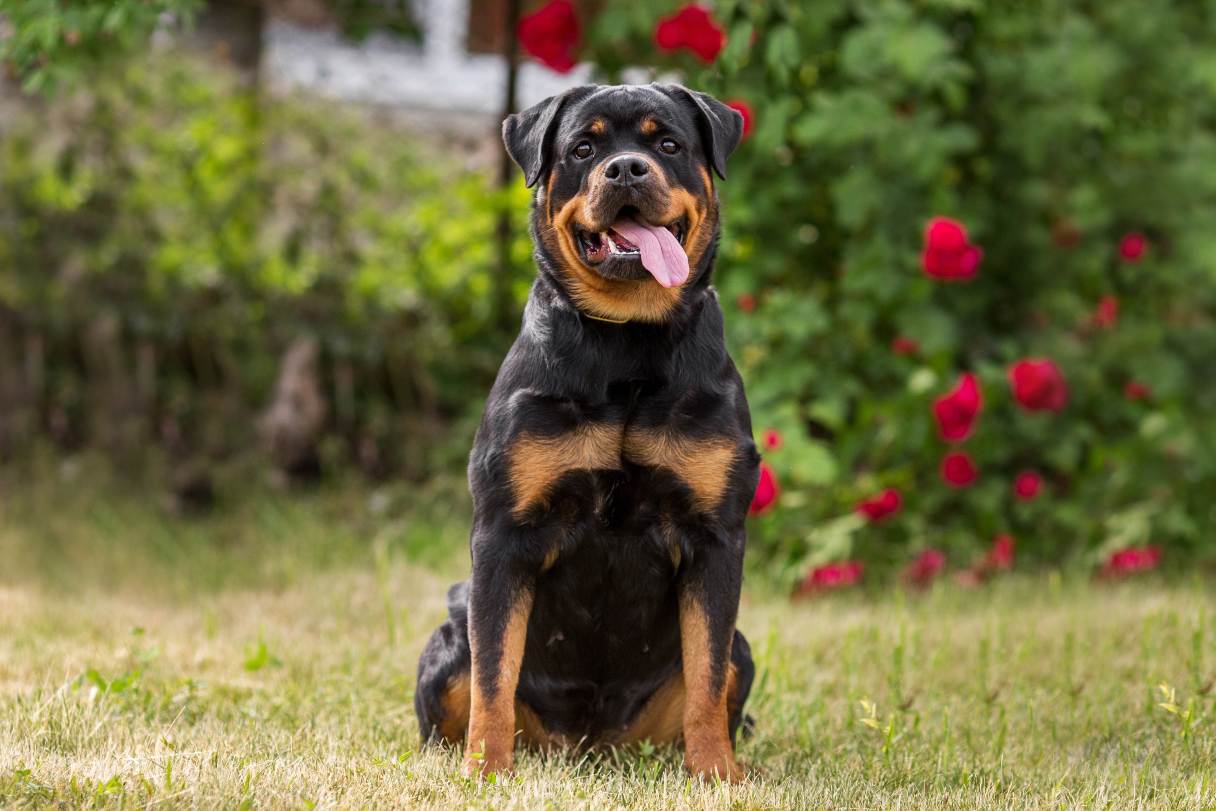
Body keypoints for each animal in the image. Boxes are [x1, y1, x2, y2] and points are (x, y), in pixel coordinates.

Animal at [418, 82, 758, 778]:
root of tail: (588, 746)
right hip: (445, 641)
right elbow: (493, 670)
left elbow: (708, 679)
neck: (627, 346)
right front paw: (485, 771)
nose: (626, 168)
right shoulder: (503, 533)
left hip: (741, 650)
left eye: (667, 144)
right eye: (582, 148)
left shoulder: (716, 535)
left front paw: (717, 774)